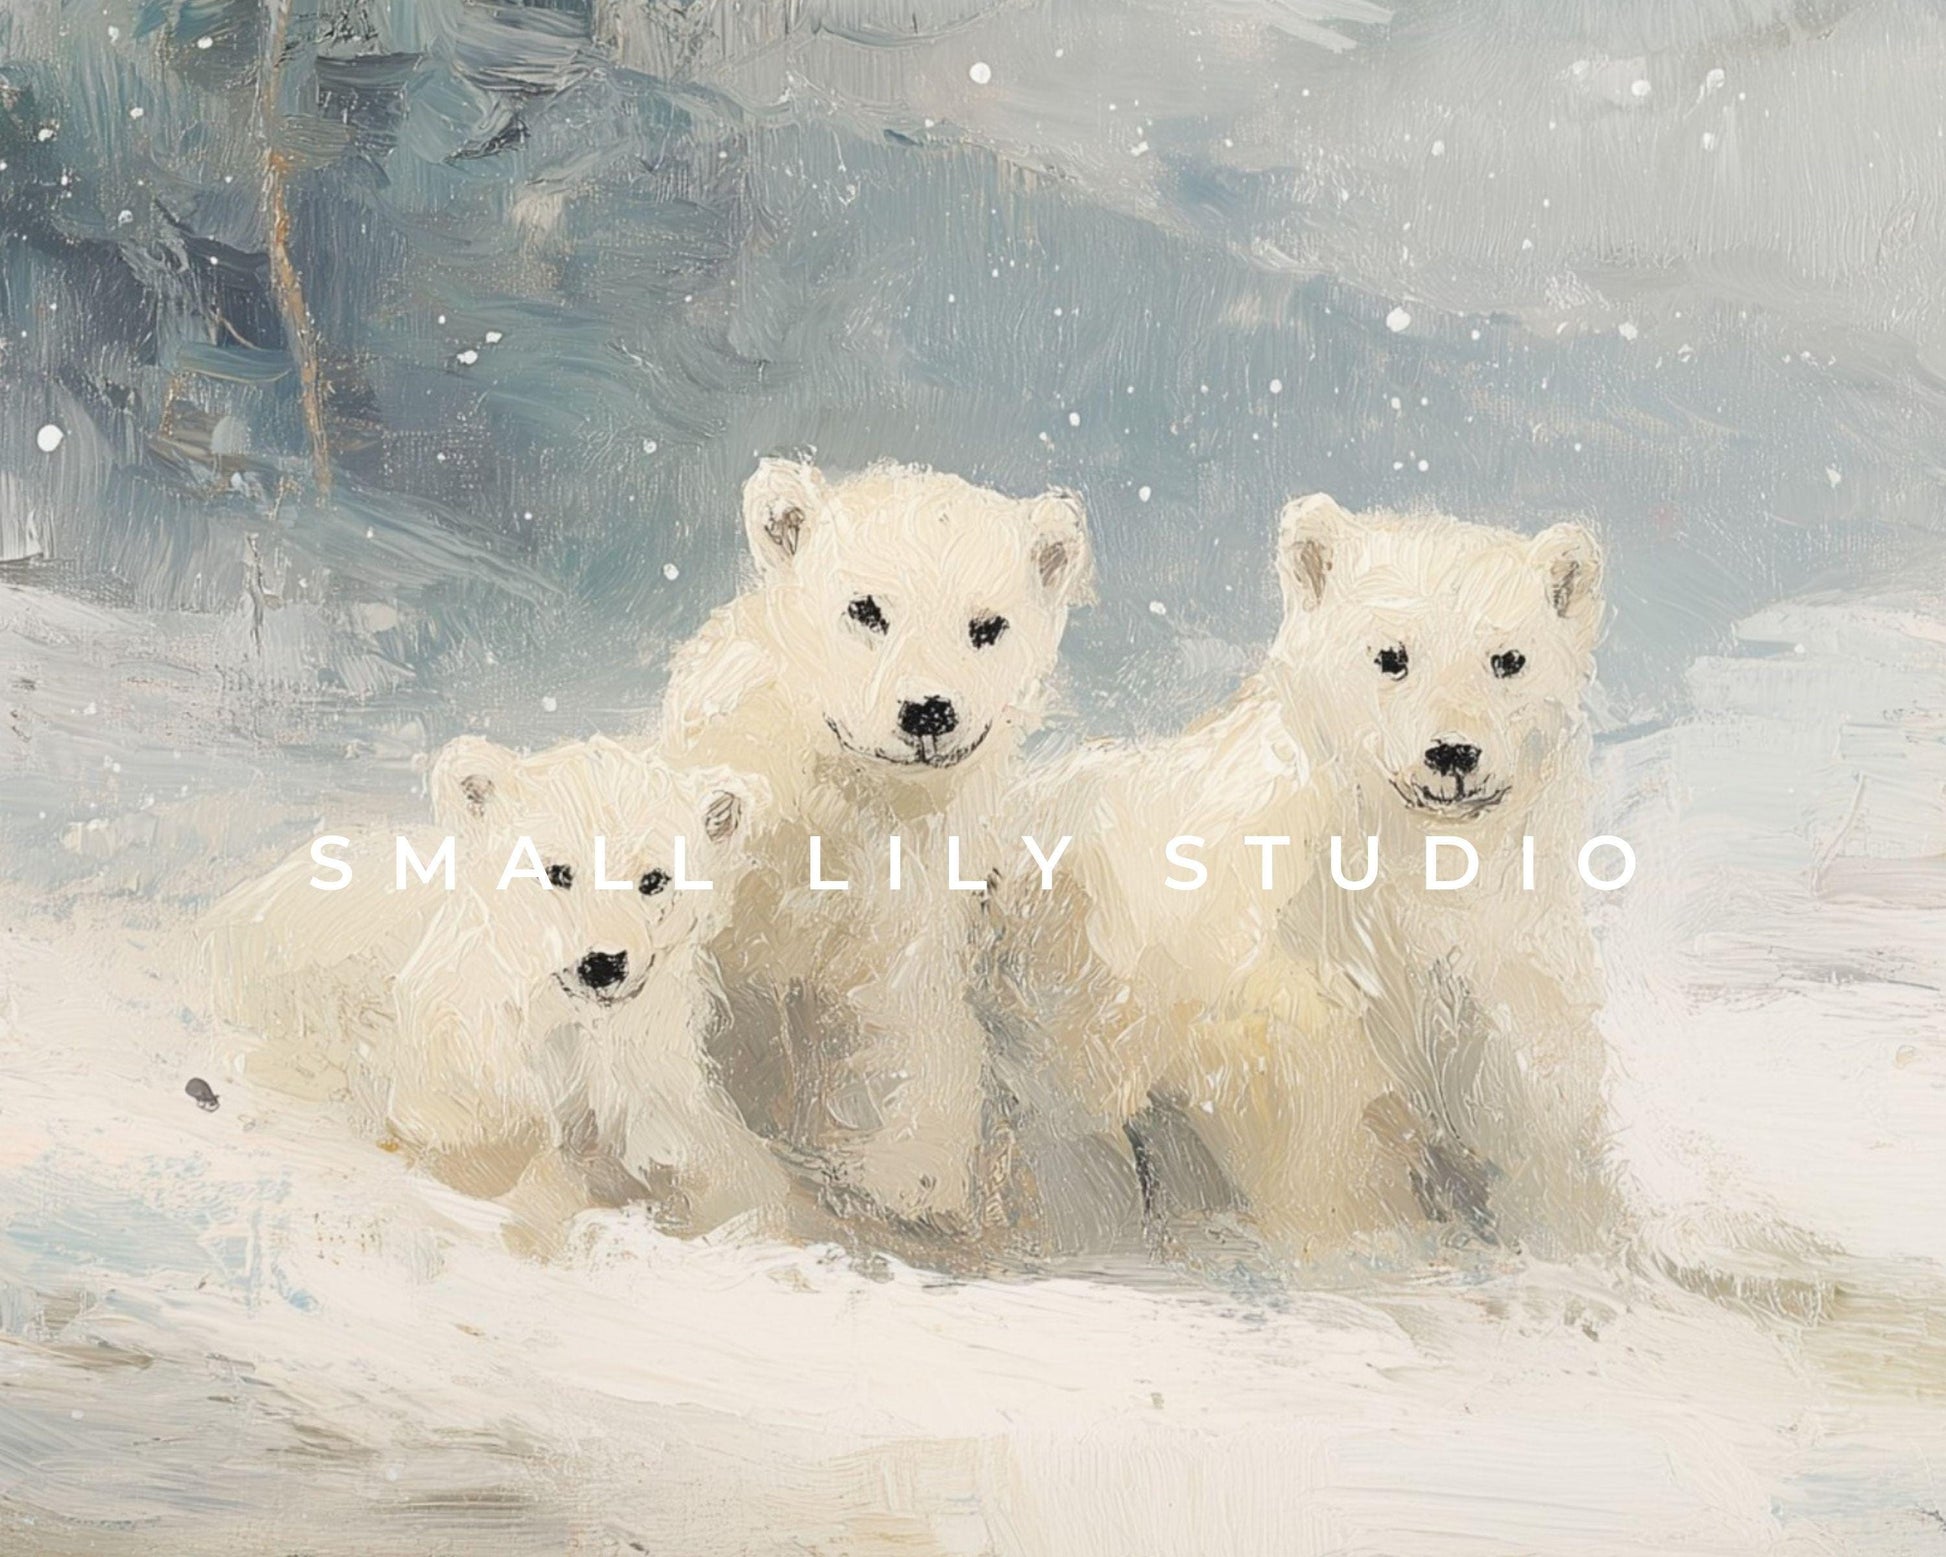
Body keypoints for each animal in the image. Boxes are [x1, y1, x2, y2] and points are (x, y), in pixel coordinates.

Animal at [658, 457, 1092, 1231]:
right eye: (866, 609)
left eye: (988, 625)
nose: (928, 711)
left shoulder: (918, 881)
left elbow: (908, 1020)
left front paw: (911, 1179)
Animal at [995, 495, 1612, 1261]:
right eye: (1390, 655)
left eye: (1509, 659)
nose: (1453, 752)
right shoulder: (1292, 996)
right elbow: (1330, 1152)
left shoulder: (1501, 967)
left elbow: (1533, 1124)